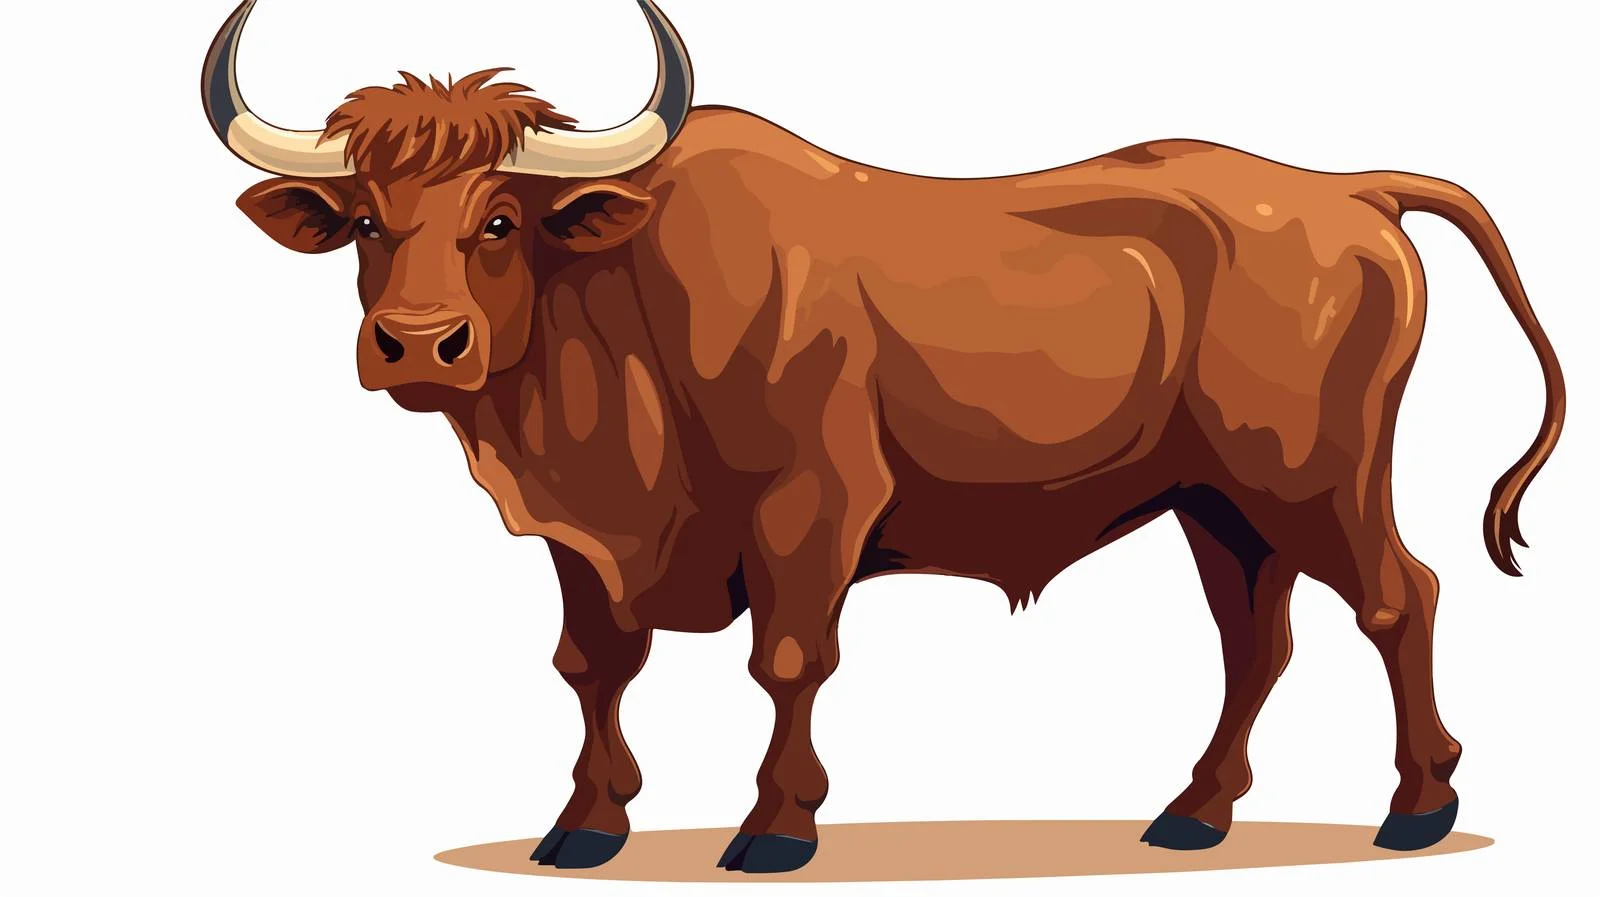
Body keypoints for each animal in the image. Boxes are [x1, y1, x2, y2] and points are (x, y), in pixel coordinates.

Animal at [201, 0, 1565, 875]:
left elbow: (789, 661)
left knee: (1398, 598)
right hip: (1216, 508)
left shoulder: (811, 509)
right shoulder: (582, 545)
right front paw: (582, 826)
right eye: (365, 219)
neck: (615, 295)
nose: (416, 344)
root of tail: (1345, 190)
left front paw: (773, 830)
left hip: (1314, 485)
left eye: (499, 218)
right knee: (1254, 642)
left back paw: (1416, 809)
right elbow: (591, 666)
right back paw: (1192, 813)